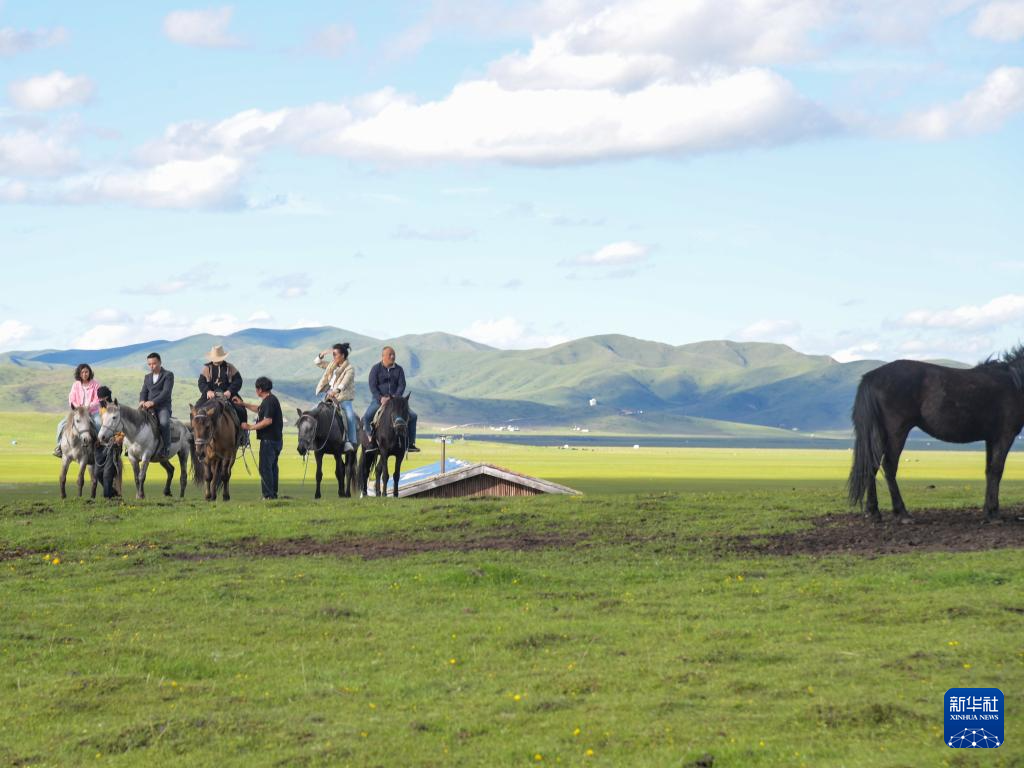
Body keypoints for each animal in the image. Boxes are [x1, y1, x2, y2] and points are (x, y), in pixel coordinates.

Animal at [847, 352, 1024, 528]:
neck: (1014, 381)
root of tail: (872, 376)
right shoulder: (1004, 436)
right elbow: (996, 471)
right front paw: (994, 514)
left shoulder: (991, 438)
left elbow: (989, 471)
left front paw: (988, 511)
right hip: (896, 432)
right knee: (889, 466)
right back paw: (902, 513)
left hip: (879, 433)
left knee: (872, 465)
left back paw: (873, 512)